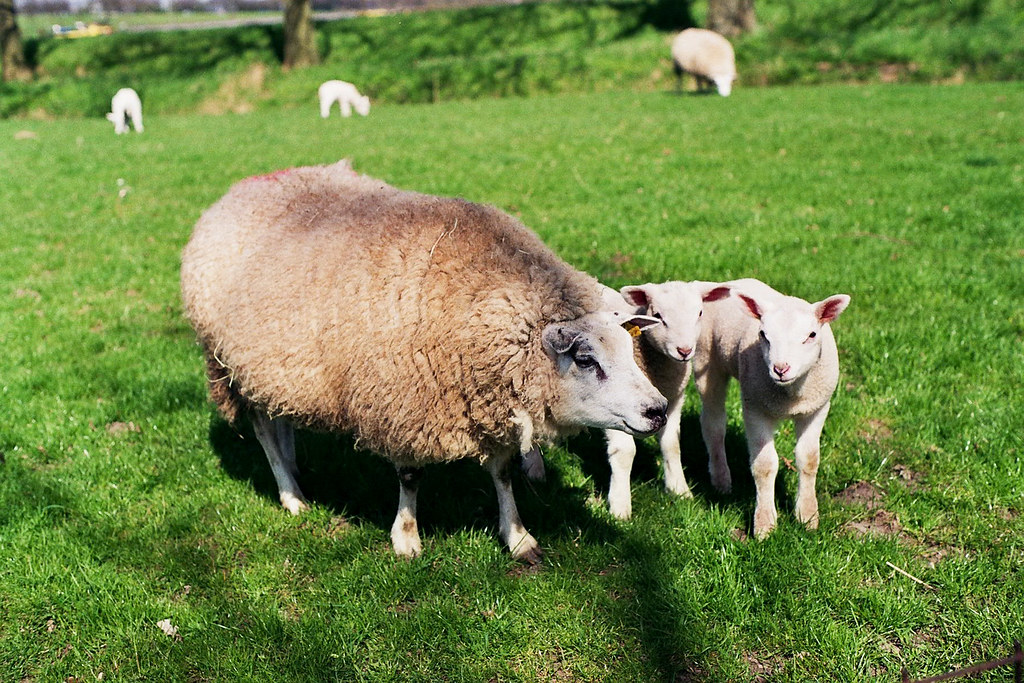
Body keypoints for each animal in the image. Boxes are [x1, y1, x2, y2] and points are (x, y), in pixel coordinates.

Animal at [180, 160, 669, 563]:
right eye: (586, 359)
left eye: (629, 349)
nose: (659, 410)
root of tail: (242, 186)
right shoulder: (401, 402)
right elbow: (410, 475)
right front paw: (406, 538)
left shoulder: (486, 400)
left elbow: (502, 474)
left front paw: (518, 538)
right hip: (231, 364)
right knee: (263, 429)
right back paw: (291, 495)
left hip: (277, 367)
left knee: (280, 419)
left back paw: (296, 469)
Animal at [601, 281, 731, 519]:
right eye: (658, 316)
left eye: (700, 313)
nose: (684, 350)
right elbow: (624, 451)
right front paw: (620, 507)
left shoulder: (674, 399)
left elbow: (671, 444)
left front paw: (679, 489)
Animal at [693, 279, 850, 539]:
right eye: (763, 335)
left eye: (811, 335)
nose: (780, 368)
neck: (792, 395)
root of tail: (717, 284)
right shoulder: (755, 409)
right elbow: (764, 466)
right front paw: (765, 525)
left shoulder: (816, 409)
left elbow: (809, 459)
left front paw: (808, 517)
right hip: (707, 362)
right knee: (713, 424)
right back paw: (721, 480)